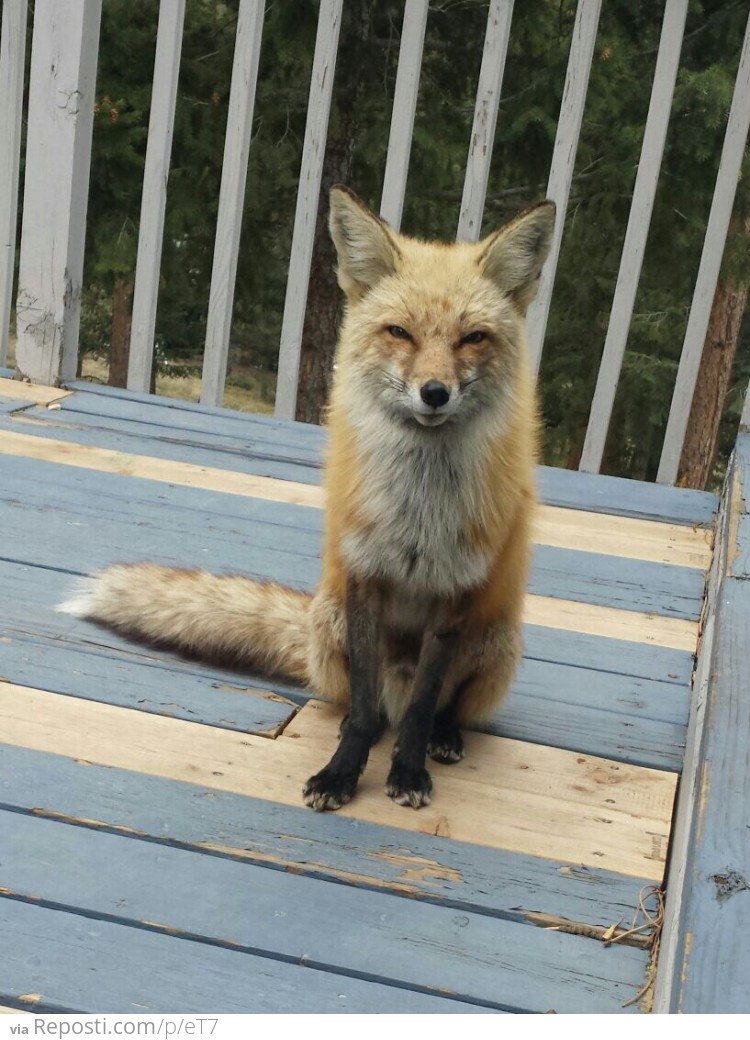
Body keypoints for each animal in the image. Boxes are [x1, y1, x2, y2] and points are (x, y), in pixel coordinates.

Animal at [58, 191, 553, 815]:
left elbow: (421, 709)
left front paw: (408, 770)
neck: (418, 511)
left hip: (494, 639)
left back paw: (444, 736)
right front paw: (341, 772)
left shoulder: (453, 589)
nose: (435, 393)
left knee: (440, 706)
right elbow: (363, 709)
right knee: (364, 703)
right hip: (331, 618)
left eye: (473, 338)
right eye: (400, 332)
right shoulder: (364, 574)